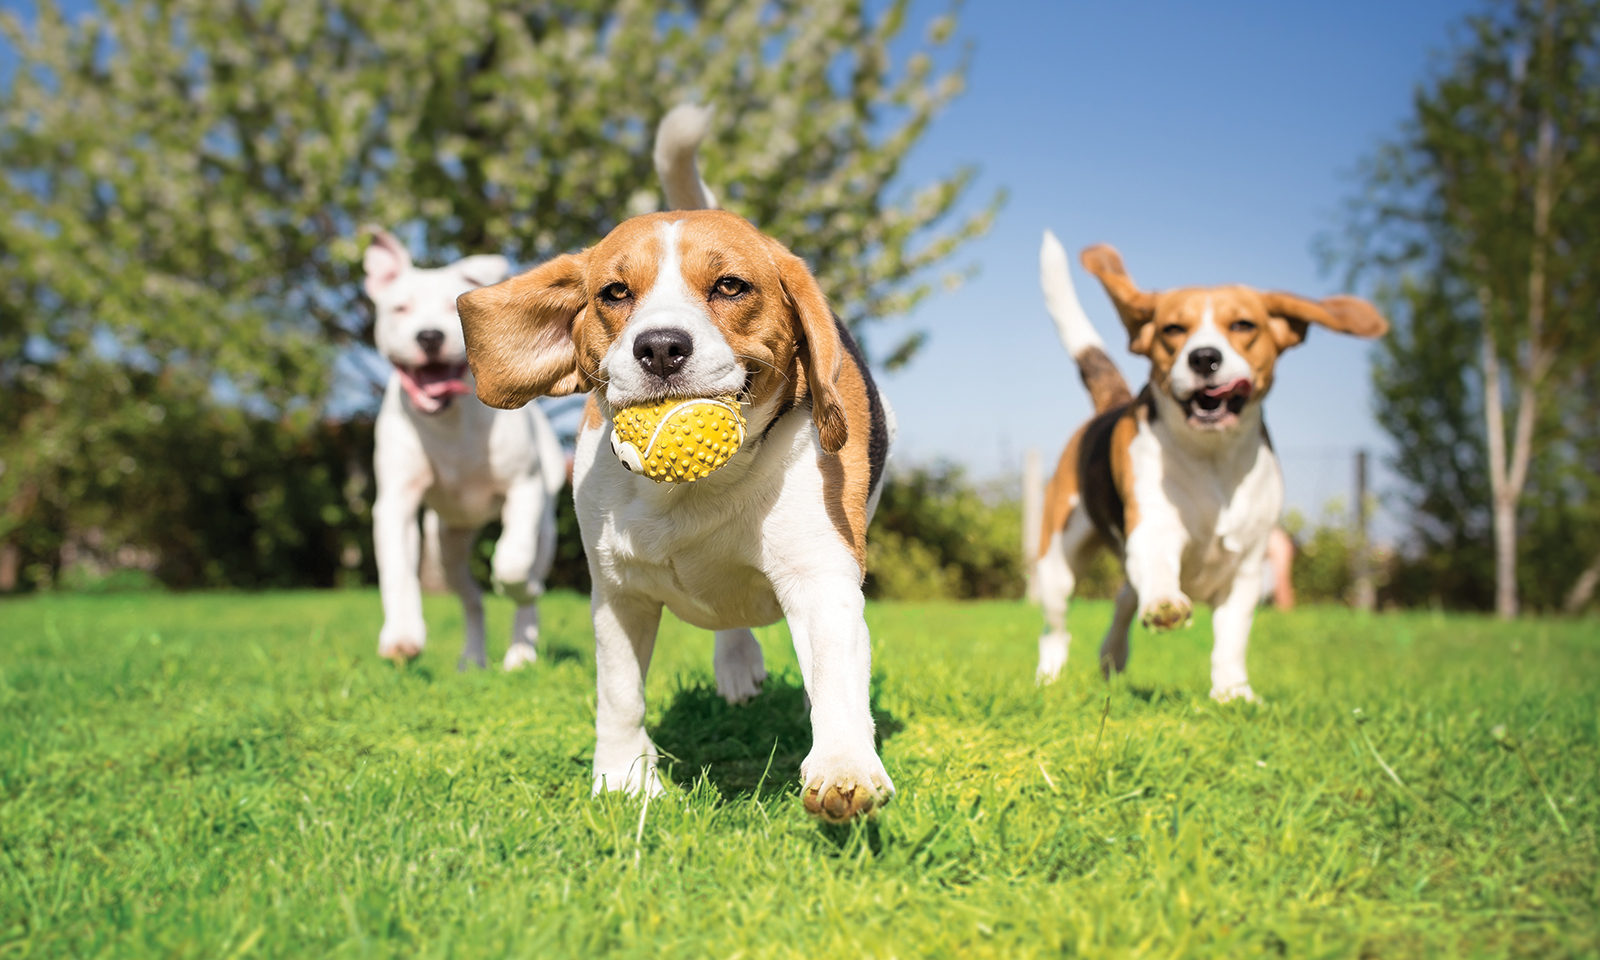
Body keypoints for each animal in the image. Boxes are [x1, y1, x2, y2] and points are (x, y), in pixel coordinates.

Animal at [366, 230, 566, 672]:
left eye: (451, 307)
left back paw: (521, 652)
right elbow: (397, 571)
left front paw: (519, 585)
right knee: (472, 599)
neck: (449, 420)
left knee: (527, 584)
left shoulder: (524, 489)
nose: (429, 336)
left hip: (545, 527)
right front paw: (402, 636)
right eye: (400, 308)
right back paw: (472, 658)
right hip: (446, 546)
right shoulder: (395, 503)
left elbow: (512, 561)